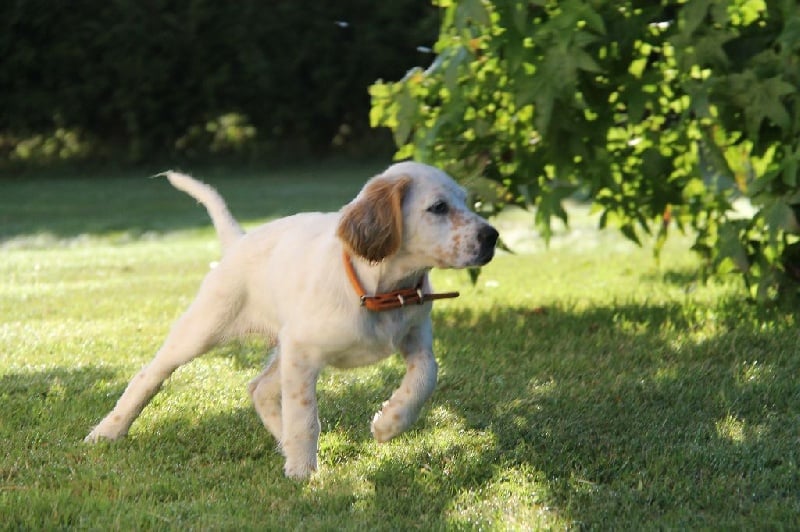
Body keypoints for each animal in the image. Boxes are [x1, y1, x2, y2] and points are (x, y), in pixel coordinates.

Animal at [89, 162, 500, 478]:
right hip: (205, 328)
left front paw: (390, 423)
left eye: (466, 201)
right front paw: (302, 471)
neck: (381, 290)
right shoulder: (304, 352)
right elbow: (304, 416)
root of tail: (239, 241)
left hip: (283, 346)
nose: (492, 236)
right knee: (149, 375)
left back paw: (284, 442)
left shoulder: (416, 339)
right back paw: (107, 431)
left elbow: (426, 376)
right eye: (439, 208)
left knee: (259, 388)